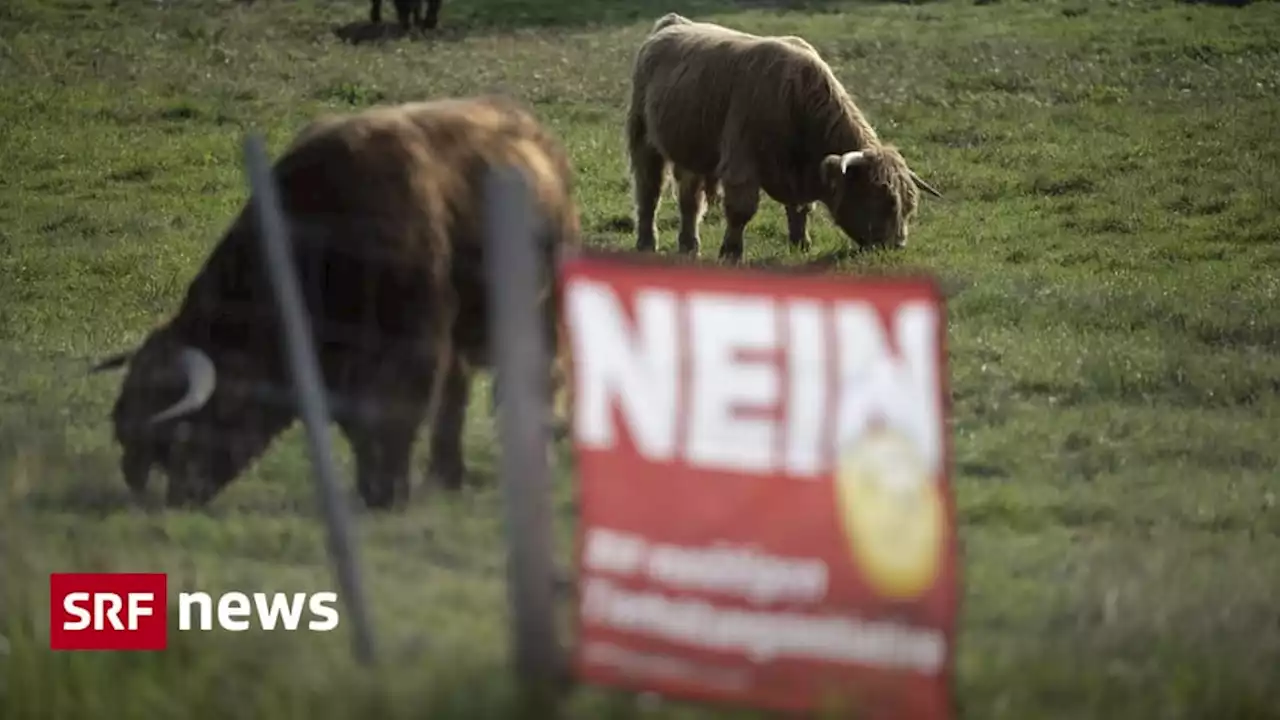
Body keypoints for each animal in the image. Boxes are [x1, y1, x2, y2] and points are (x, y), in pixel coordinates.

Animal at [92, 95, 583, 507]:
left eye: (179, 433)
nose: (177, 497)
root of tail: (533, 133)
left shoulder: (413, 349)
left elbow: (390, 418)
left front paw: (387, 493)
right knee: (456, 398)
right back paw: (445, 478)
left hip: (540, 309)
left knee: (538, 379)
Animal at [627, 12, 942, 260]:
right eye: (885, 200)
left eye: (909, 206)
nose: (897, 245)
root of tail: (673, 22)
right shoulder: (741, 162)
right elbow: (741, 210)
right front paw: (731, 252)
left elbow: (801, 209)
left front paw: (801, 243)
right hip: (643, 138)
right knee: (649, 190)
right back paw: (647, 243)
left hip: (691, 150)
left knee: (690, 200)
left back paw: (689, 246)